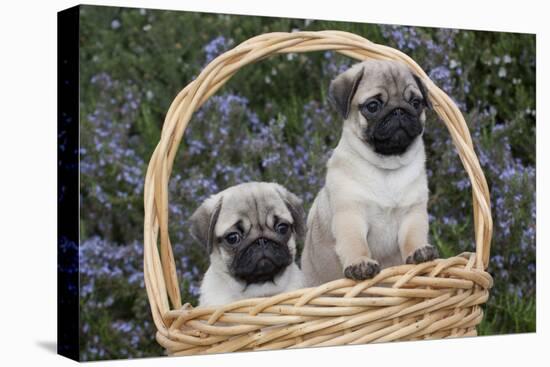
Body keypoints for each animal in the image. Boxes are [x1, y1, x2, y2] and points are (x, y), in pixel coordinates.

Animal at [302, 59, 440, 288]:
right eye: (373, 106)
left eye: (416, 103)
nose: (399, 111)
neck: (387, 167)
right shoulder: (351, 216)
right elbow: (355, 244)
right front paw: (360, 264)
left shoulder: (413, 214)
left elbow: (413, 237)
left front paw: (419, 252)